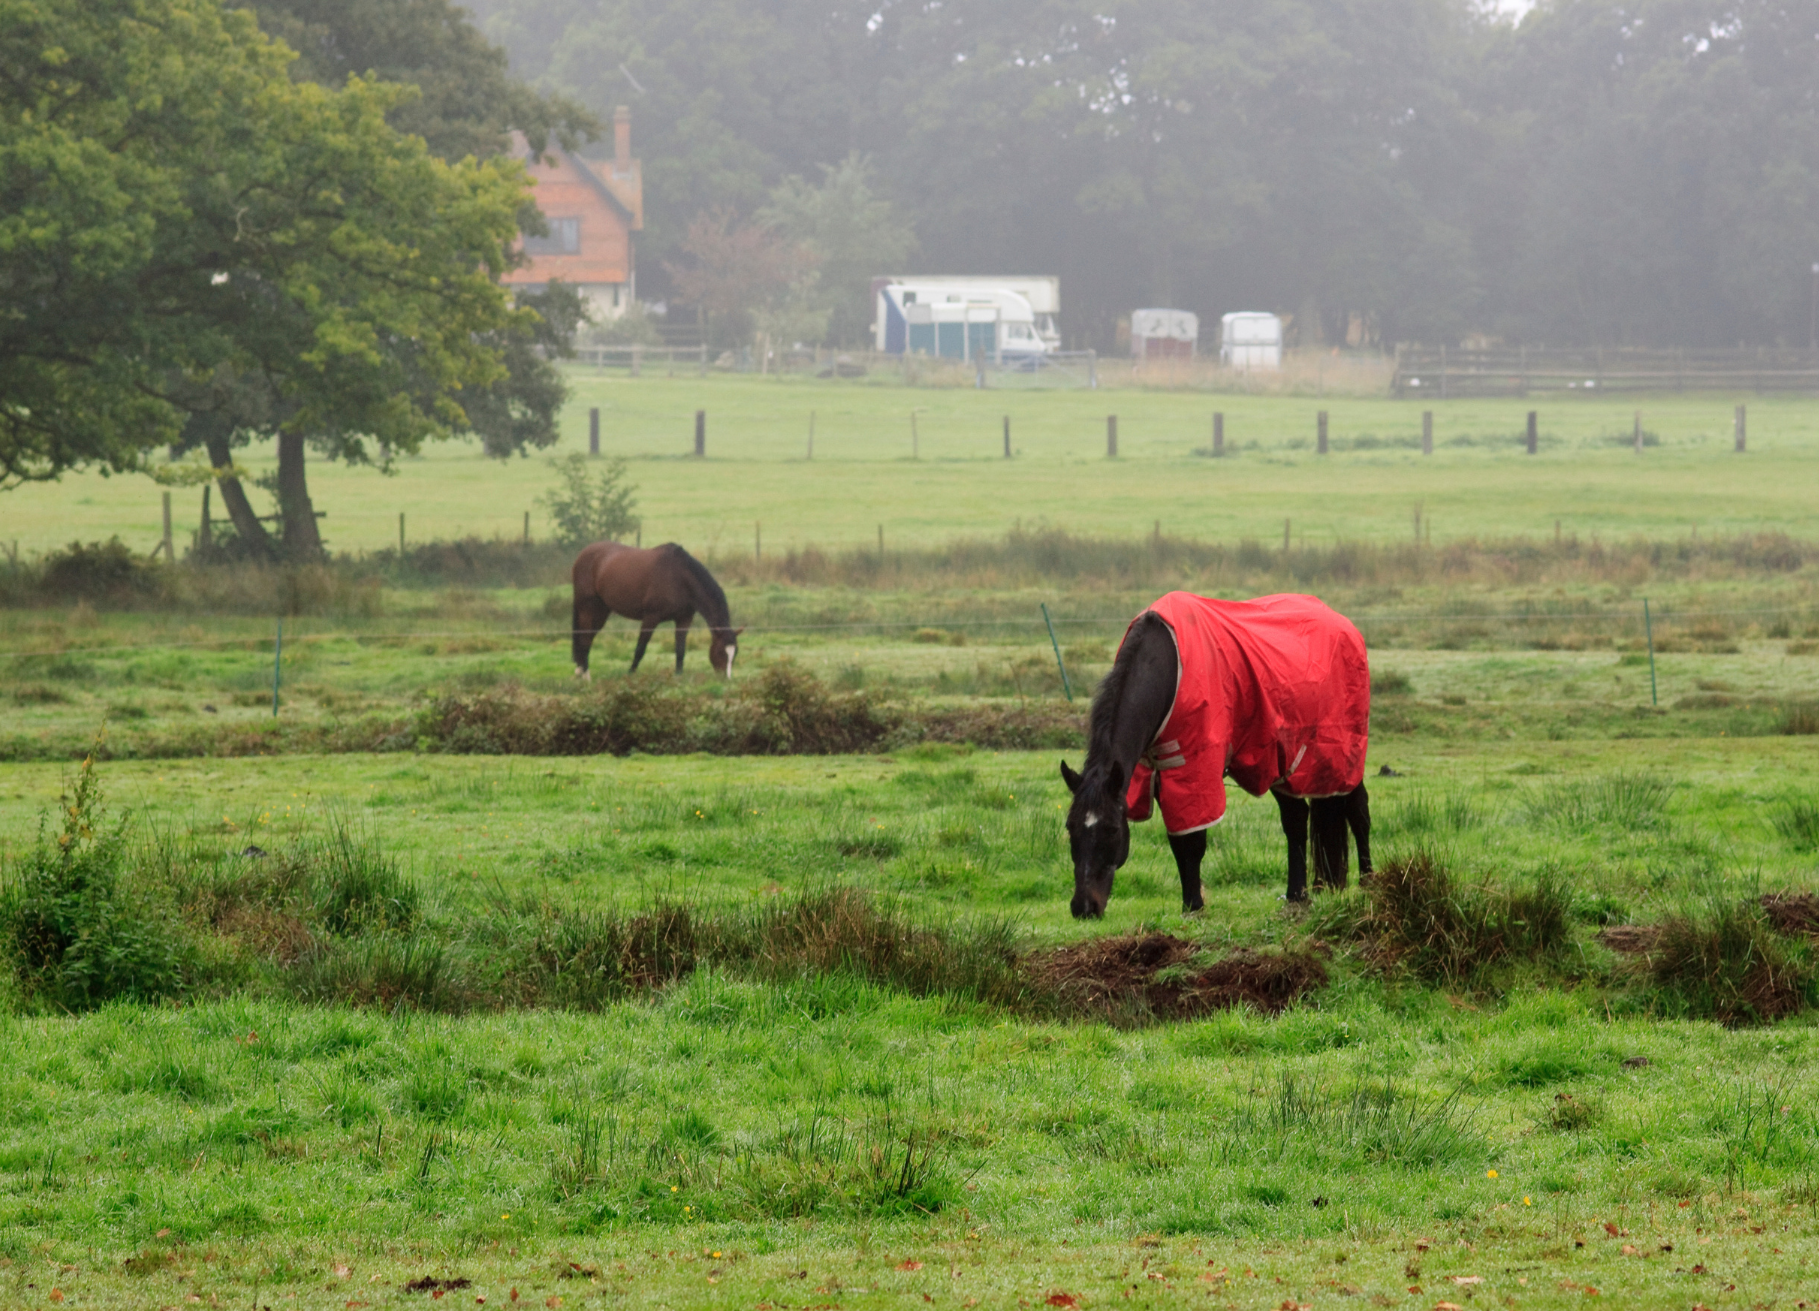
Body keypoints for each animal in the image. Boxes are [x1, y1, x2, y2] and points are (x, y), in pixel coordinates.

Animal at [570, 541, 742, 679]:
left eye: (735, 653)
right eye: (720, 652)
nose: (725, 678)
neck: (679, 577)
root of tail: (583, 554)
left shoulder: (684, 619)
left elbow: (680, 649)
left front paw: (678, 675)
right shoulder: (651, 618)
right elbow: (640, 648)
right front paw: (630, 673)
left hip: (601, 610)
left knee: (589, 637)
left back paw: (580, 670)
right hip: (587, 607)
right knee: (585, 638)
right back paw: (586, 675)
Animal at [1060, 592, 1373, 918]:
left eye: (1111, 829)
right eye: (1070, 828)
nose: (1084, 907)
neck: (1169, 667)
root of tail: (1346, 626)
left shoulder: (1196, 767)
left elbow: (1194, 841)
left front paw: (1194, 905)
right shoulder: (1162, 767)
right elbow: (1178, 839)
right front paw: (1189, 902)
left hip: (1340, 755)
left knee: (1358, 810)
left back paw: (1367, 881)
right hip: (1284, 761)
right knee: (1296, 819)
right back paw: (1297, 895)